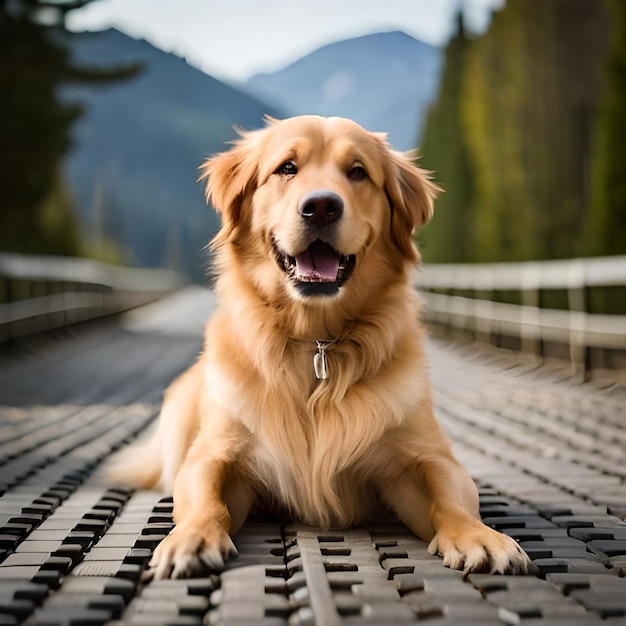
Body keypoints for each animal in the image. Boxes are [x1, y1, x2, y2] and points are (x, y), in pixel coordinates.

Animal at [108, 116, 532, 576]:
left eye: (358, 172)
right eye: (287, 168)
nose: (322, 207)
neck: (317, 342)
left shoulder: (424, 456)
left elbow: (451, 498)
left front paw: (480, 536)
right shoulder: (214, 454)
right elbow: (208, 499)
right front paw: (192, 536)